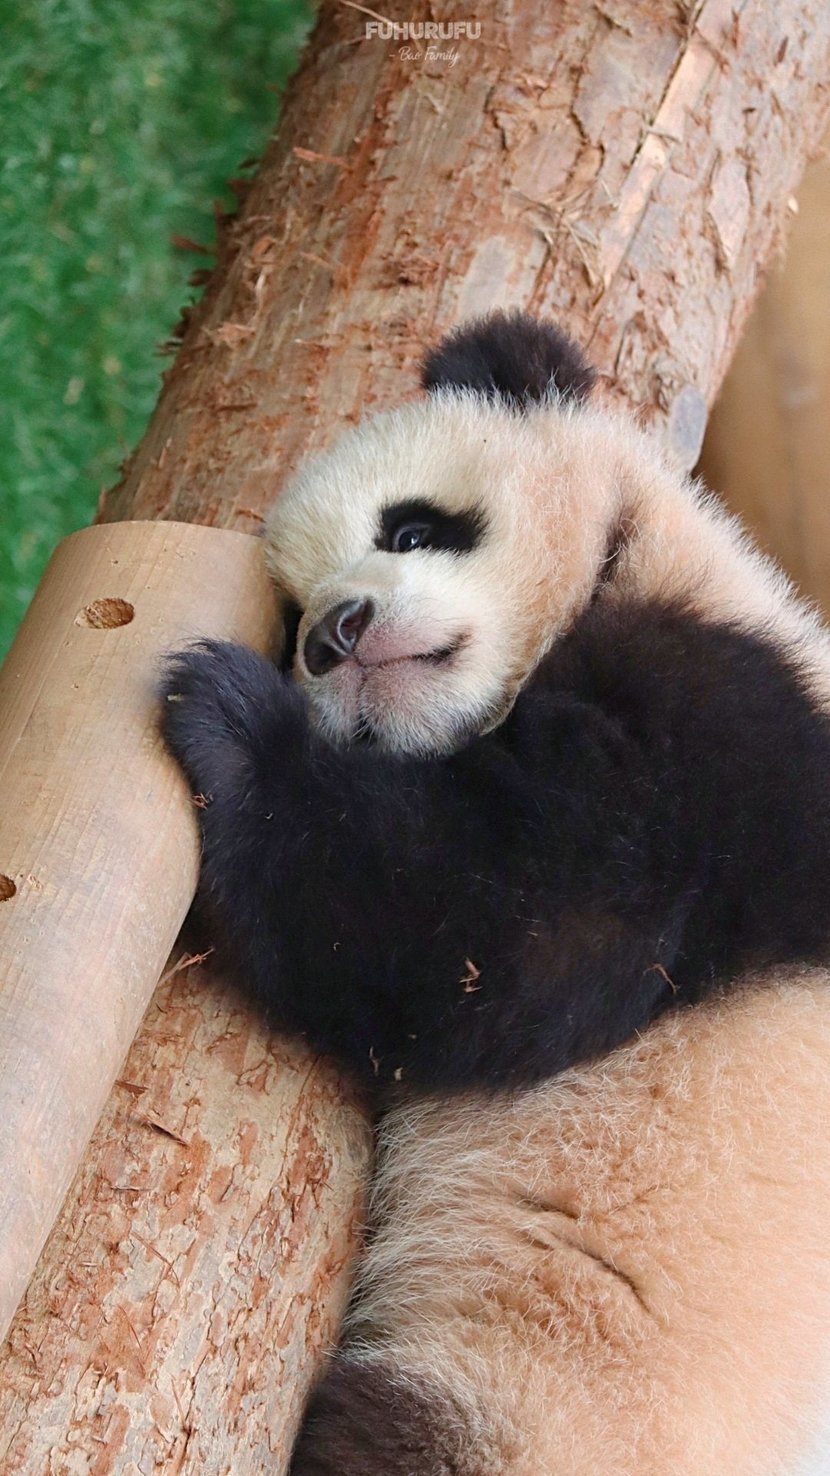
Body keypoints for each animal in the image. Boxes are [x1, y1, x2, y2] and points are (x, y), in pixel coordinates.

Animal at [162, 312, 830, 1476]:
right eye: (288, 624)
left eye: (412, 528)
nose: (335, 633)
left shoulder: (733, 732)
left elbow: (518, 929)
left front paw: (235, 733)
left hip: (558, 1398)